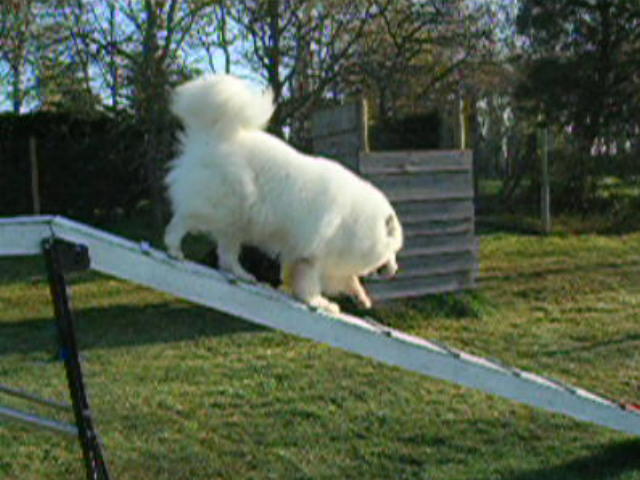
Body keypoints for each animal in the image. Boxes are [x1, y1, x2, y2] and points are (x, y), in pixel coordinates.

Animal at [165, 73, 404, 314]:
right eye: (392, 250)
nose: (395, 269)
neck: (355, 220)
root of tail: (216, 135)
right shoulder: (311, 255)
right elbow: (310, 283)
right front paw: (317, 302)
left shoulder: (325, 259)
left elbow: (347, 280)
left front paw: (361, 298)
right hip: (217, 207)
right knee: (183, 221)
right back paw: (174, 248)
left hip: (236, 221)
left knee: (226, 255)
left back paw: (242, 274)